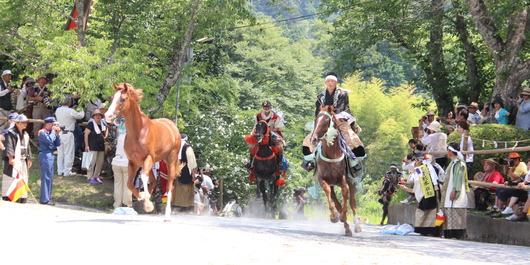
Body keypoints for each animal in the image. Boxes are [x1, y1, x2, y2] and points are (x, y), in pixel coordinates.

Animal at [104, 83, 185, 221]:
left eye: (123, 99)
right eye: (112, 98)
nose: (107, 116)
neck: (139, 131)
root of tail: (172, 126)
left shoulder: (148, 158)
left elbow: (142, 177)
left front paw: (147, 205)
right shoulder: (133, 162)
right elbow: (129, 183)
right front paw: (143, 198)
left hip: (170, 160)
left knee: (169, 186)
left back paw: (167, 215)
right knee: (153, 181)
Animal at [308, 105, 360, 235]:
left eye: (326, 121)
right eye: (316, 120)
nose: (313, 139)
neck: (331, 155)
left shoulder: (342, 178)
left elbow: (345, 193)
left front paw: (344, 216)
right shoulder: (323, 179)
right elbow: (328, 194)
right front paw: (334, 217)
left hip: (352, 180)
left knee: (353, 203)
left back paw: (356, 226)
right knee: (336, 202)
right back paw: (346, 227)